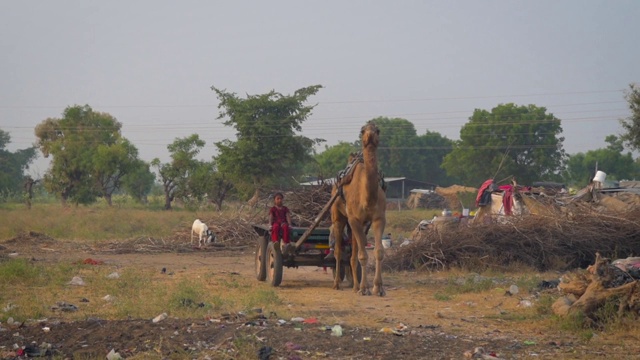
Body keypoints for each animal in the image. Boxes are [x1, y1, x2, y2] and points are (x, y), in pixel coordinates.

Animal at [330, 121, 384, 296]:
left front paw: (378, 288)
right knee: (338, 251)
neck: (367, 197)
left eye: (377, 130)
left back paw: (354, 285)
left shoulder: (378, 218)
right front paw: (364, 288)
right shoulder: (354, 219)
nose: (370, 135)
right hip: (338, 216)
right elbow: (363, 255)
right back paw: (337, 284)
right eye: (362, 130)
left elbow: (378, 252)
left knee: (352, 252)